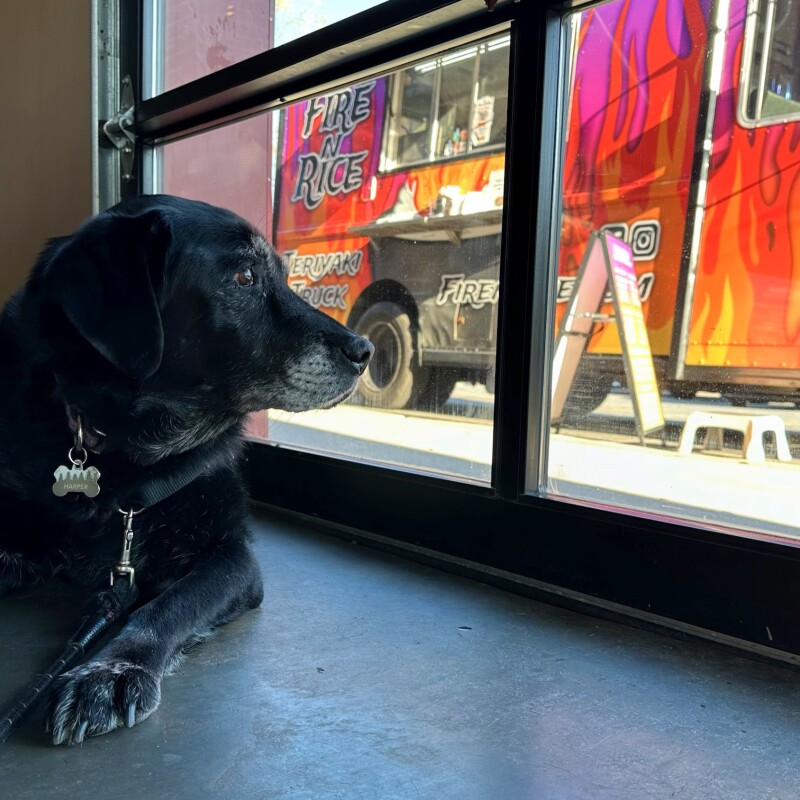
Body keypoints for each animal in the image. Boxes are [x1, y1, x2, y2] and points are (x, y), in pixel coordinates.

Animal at [0, 194, 373, 745]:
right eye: (244, 276)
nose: (365, 350)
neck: (128, 456)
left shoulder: (232, 556)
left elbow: (164, 607)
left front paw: (111, 671)